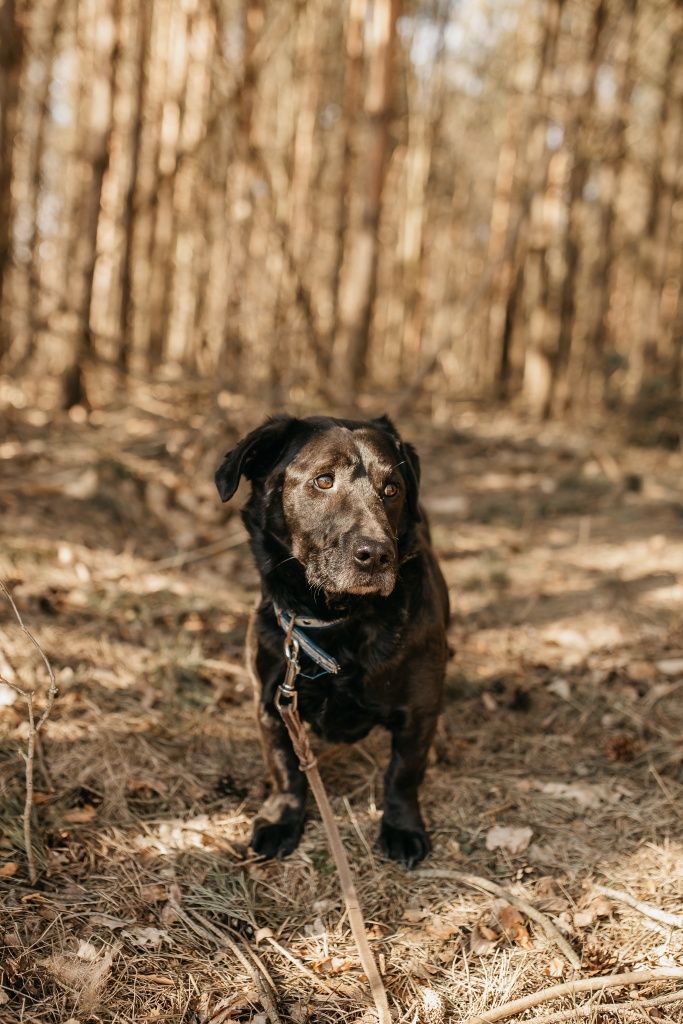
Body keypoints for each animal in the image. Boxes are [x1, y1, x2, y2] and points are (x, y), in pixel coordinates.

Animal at [216, 411, 450, 868]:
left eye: (391, 489)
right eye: (323, 481)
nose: (376, 555)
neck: (337, 619)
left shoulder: (419, 711)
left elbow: (403, 774)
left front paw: (402, 828)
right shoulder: (272, 704)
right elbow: (286, 769)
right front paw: (281, 819)